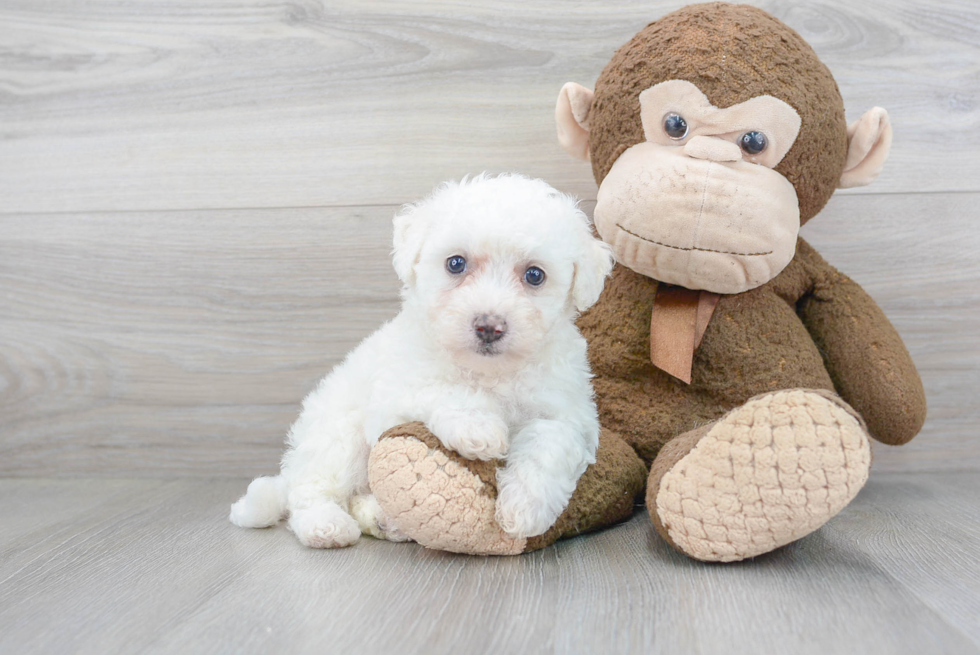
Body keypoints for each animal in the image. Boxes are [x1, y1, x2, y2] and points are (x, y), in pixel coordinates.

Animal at [230, 174, 612, 548]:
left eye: (534, 275)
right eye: (455, 263)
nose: (489, 326)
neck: (488, 372)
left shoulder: (567, 411)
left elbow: (550, 444)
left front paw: (524, 508)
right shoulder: (396, 393)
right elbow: (443, 390)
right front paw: (479, 428)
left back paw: (385, 521)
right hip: (337, 435)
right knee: (311, 488)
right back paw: (325, 525)